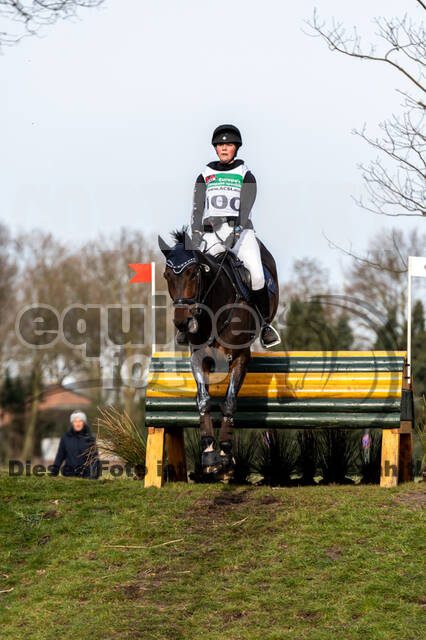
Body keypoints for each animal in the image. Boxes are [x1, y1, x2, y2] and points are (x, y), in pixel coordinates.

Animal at [157, 228, 280, 478]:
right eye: (167, 275)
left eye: (194, 273)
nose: (182, 322)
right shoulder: (198, 358)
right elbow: (204, 400)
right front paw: (209, 454)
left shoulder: (240, 357)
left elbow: (229, 402)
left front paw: (225, 454)